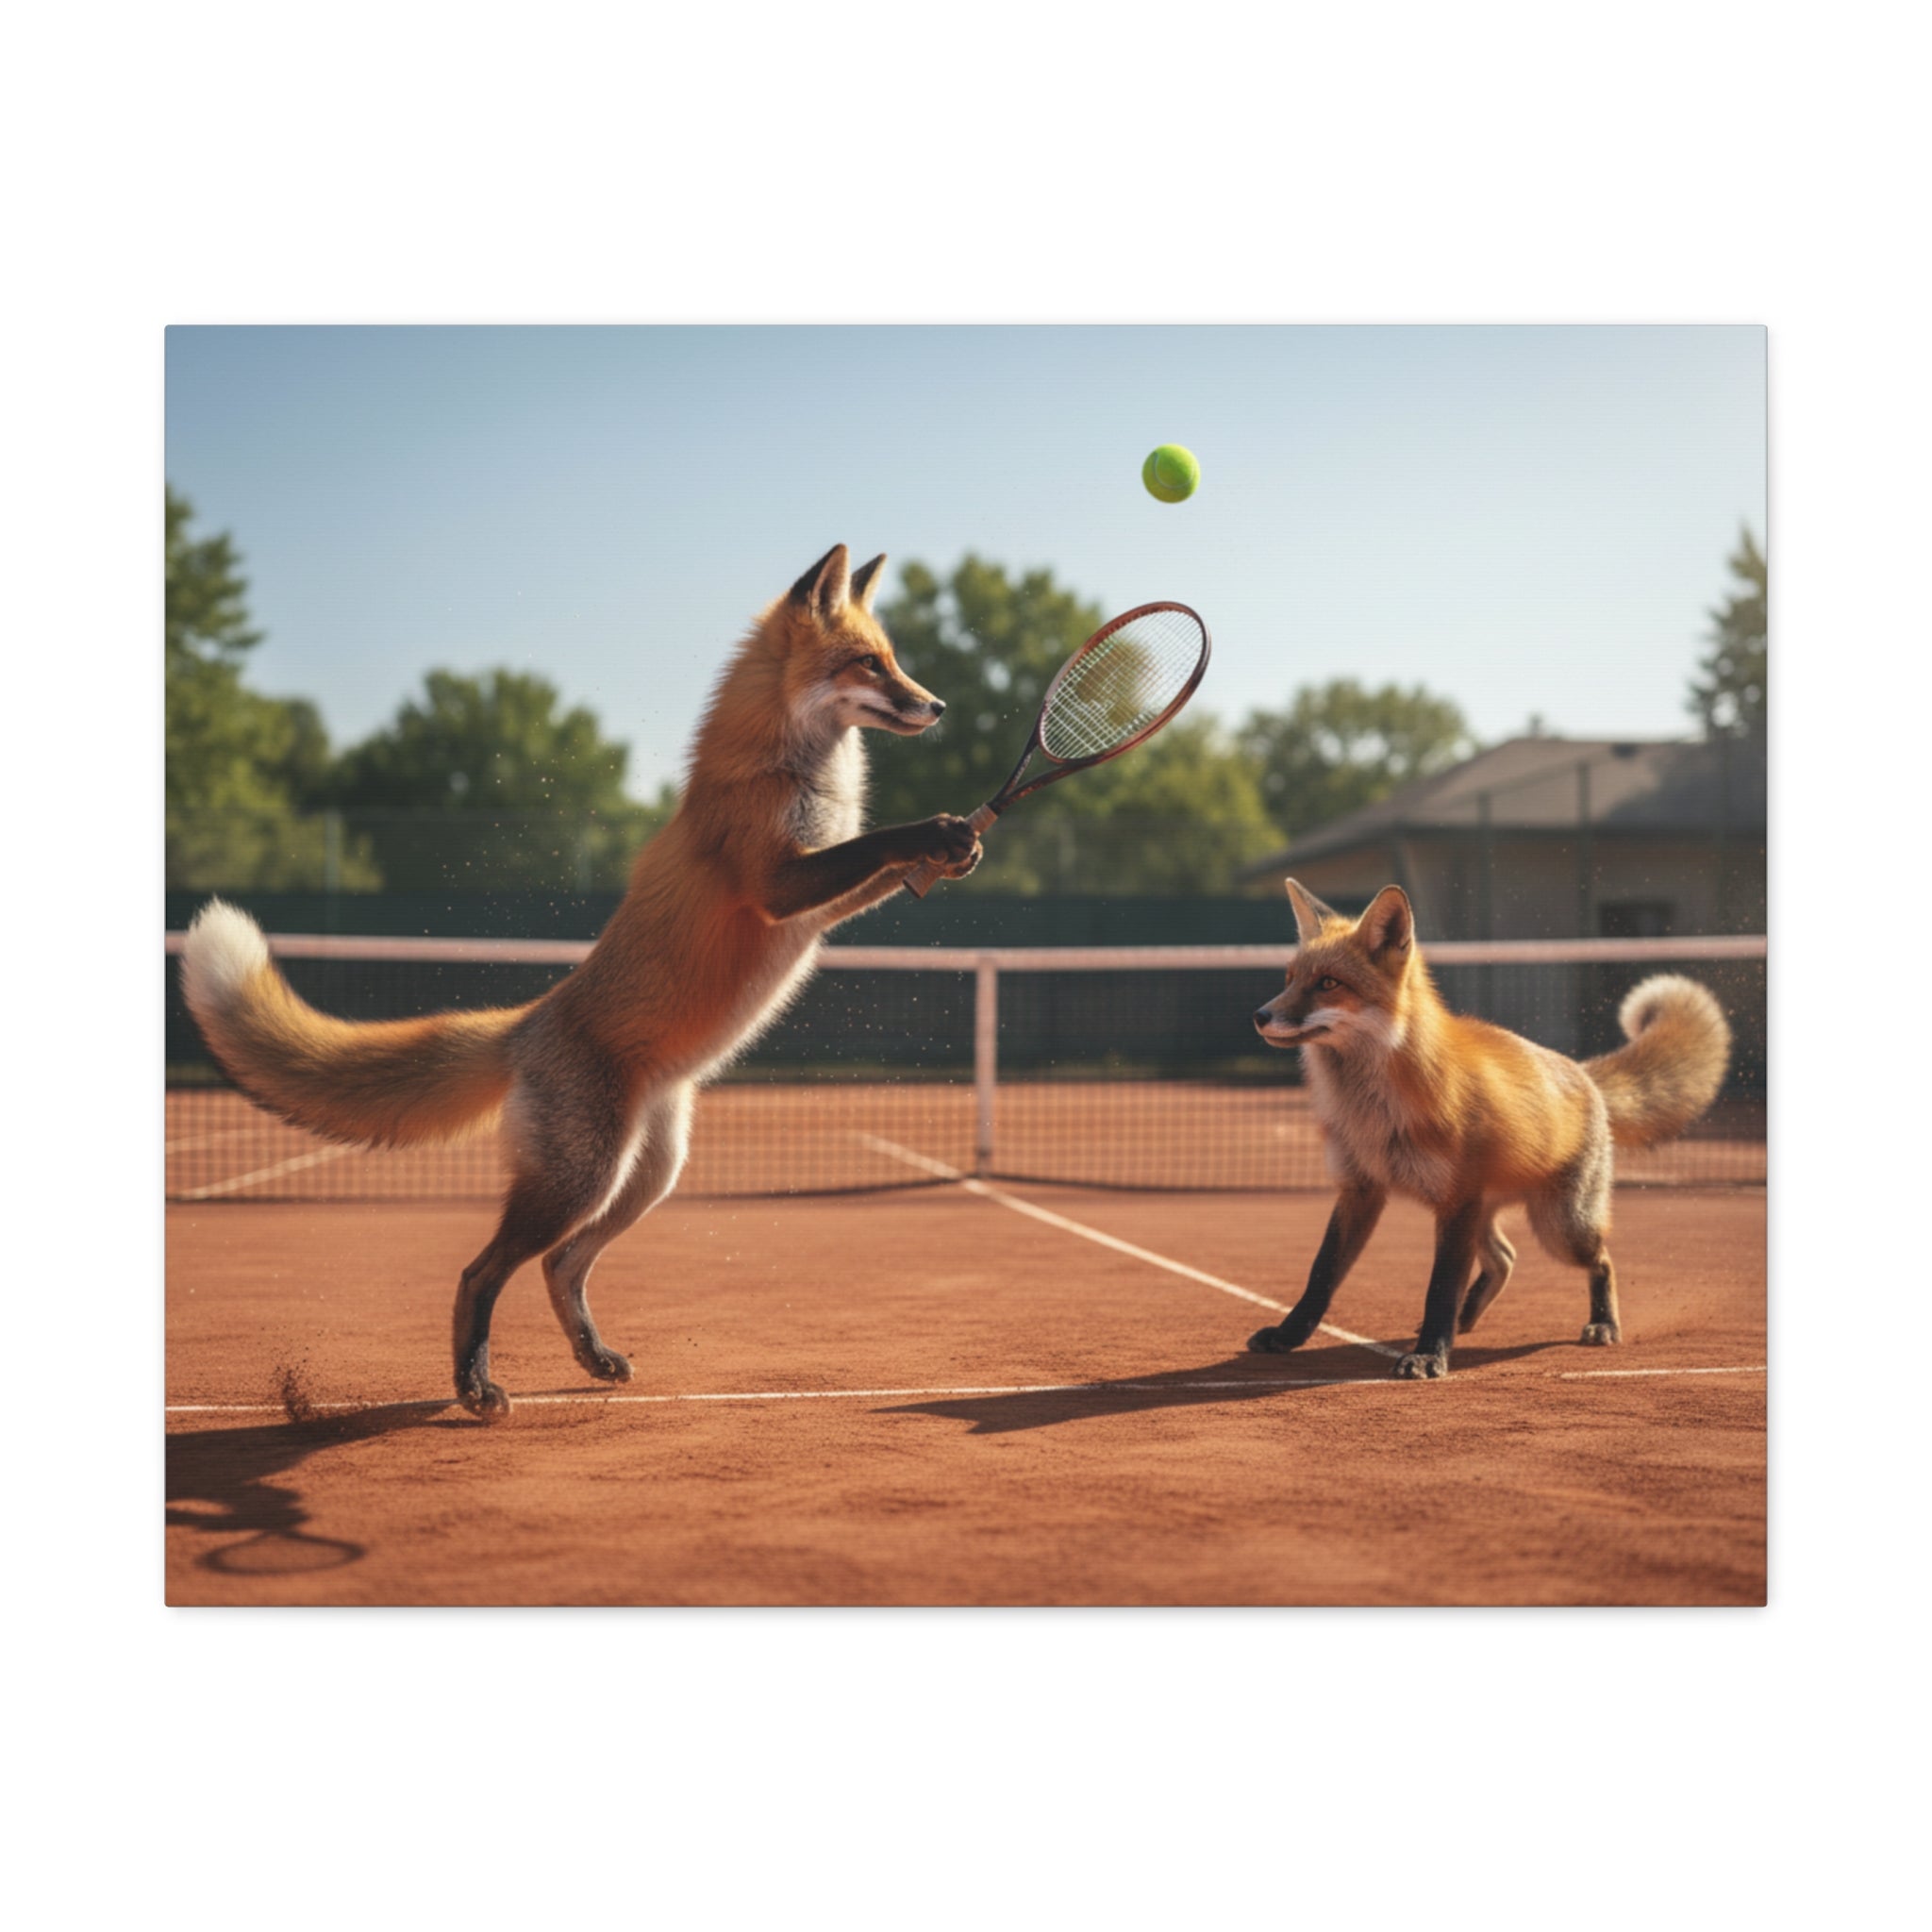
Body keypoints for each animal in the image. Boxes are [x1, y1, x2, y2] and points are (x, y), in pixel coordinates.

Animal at [182, 544, 983, 1420]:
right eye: (871, 663)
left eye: (894, 660)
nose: (938, 705)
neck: (790, 768)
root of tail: (528, 1022)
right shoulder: (777, 884)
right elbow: (879, 842)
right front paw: (941, 828)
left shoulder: (818, 902)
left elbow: (883, 868)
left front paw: (959, 848)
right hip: (584, 1178)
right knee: (483, 1271)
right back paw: (474, 1387)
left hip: (647, 1175)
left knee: (559, 1265)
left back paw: (591, 1357)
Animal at [1246, 878, 1731, 1380]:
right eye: (1289, 979)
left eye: (1328, 984)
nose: (1260, 1016)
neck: (1373, 1110)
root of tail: (1582, 1072)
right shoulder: (1361, 1190)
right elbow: (1320, 1276)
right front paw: (1288, 1336)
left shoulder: (1455, 1201)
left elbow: (1440, 1288)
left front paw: (1429, 1355)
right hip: (1482, 1214)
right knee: (1504, 1259)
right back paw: (1466, 1319)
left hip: (1560, 1227)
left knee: (1601, 1261)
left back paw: (1602, 1324)